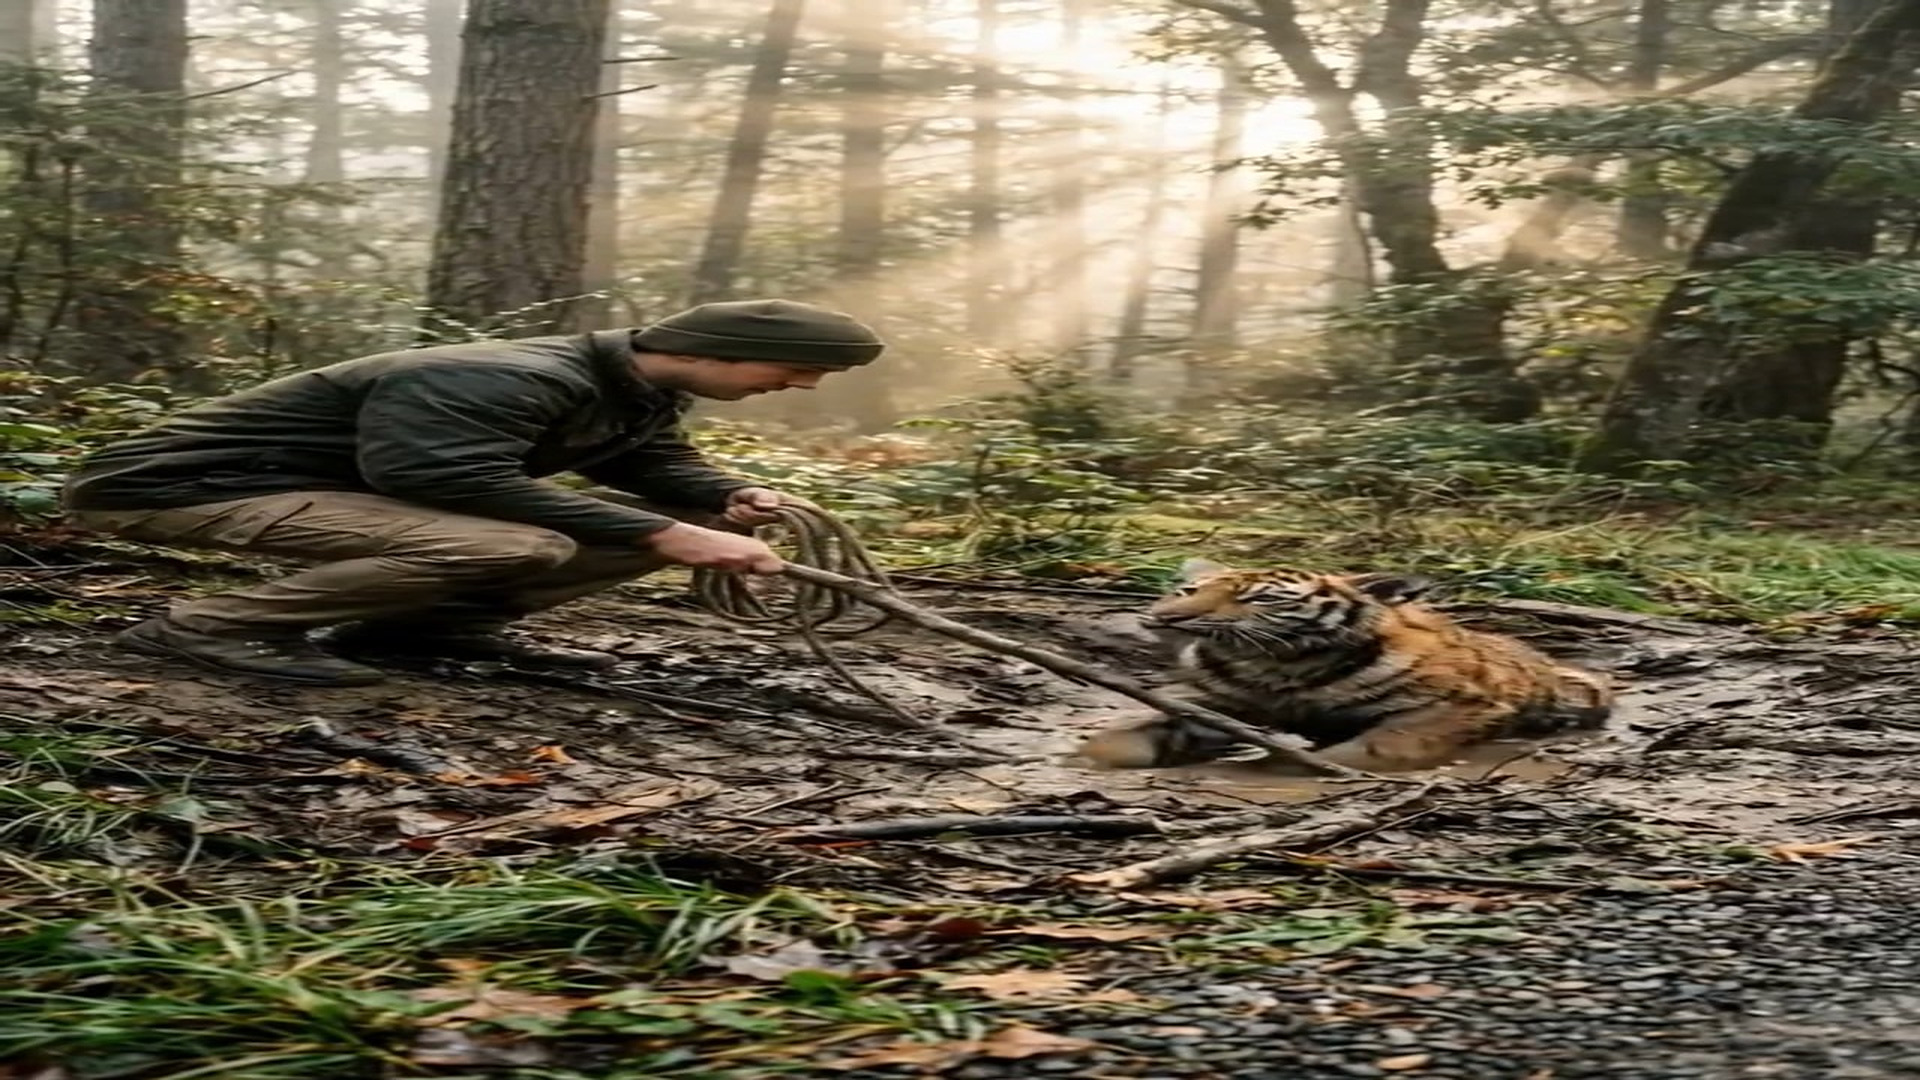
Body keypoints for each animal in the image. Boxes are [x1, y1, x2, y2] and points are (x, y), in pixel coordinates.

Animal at [1076, 559, 1613, 773]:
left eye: (1259, 598)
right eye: (1188, 590)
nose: (1168, 617)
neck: (1278, 666)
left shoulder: (1457, 705)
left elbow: (1381, 747)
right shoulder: (1213, 702)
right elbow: (1126, 733)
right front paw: (1099, 757)